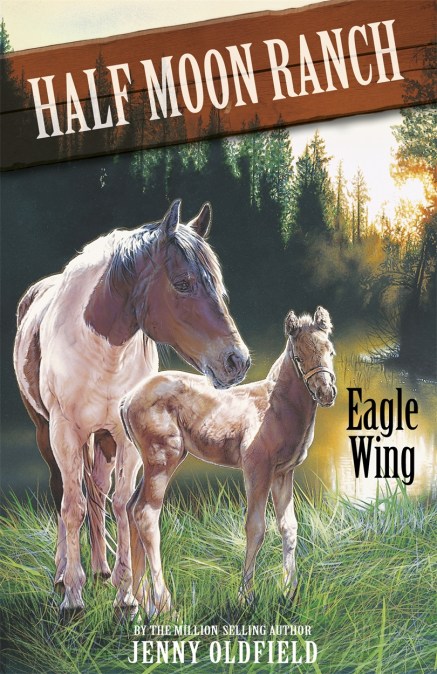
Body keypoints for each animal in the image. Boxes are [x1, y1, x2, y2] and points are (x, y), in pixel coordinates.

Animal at [13, 199, 250, 617]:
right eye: (183, 283)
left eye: (219, 288)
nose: (236, 361)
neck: (102, 351)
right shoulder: (64, 432)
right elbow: (71, 505)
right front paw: (72, 598)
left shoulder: (124, 438)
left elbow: (122, 504)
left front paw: (126, 597)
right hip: (45, 432)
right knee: (63, 491)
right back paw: (62, 574)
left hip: (103, 440)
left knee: (98, 491)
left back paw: (101, 570)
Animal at [120, 306, 337, 616]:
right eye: (298, 356)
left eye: (330, 351)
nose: (326, 393)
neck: (276, 406)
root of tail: (127, 399)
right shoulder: (257, 469)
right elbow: (256, 528)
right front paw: (246, 597)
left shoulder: (283, 473)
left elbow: (289, 527)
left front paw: (289, 591)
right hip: (162, 460)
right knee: (145, 514)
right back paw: (162, 603)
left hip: (153, 464)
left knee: (130, 508)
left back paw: (135, 601)